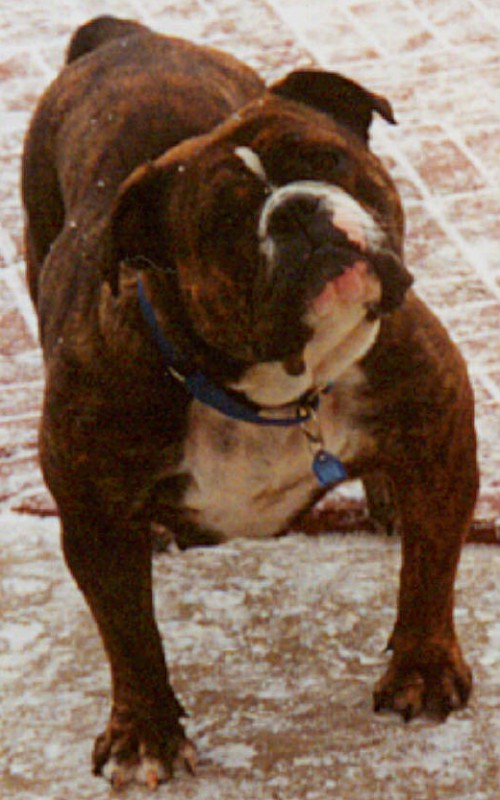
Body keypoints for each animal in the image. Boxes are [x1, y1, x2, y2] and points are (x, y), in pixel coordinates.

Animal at [22, 15, 478, 789]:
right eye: (224, 220)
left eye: (329, 160)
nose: (295, 208)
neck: (274, 388)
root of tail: (120, 35)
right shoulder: (95, 520)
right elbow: (129, 635)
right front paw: (145, 733)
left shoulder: (440, 428)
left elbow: (429, 569)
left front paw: (422, 668)